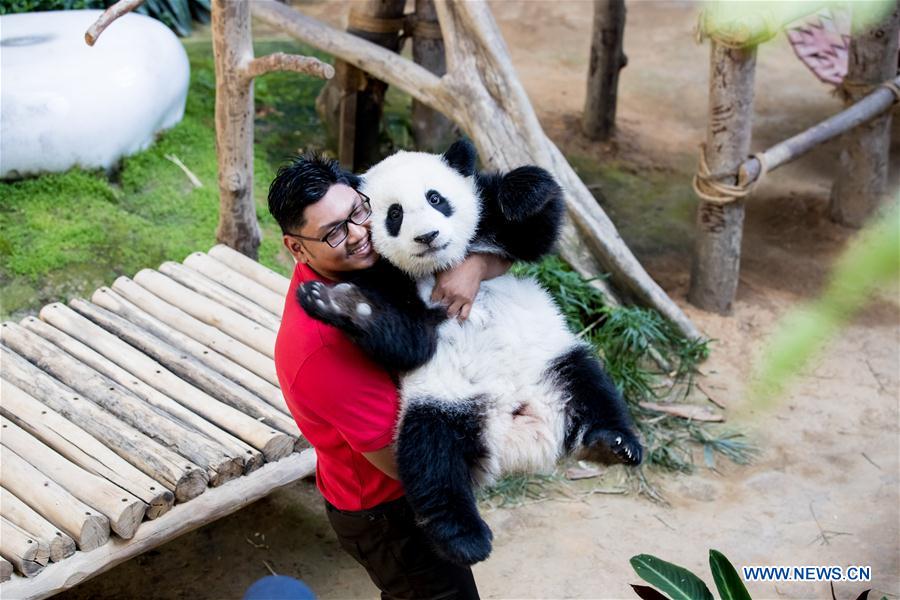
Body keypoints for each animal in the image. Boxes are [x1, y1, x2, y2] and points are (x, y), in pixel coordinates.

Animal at [298, 140, 643, 566]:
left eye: (436, 198)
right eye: (394, 214)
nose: (428, 236)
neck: (437, 268)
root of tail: (517, 440)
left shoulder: (487, 221)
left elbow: (533, 231)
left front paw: (522, 193)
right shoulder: (379, 276)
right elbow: (411, 340)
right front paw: (340, 305)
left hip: (551, 363)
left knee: (590, 386)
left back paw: (613, 445)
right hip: (441, 401)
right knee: (432, 457)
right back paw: (465, 539)